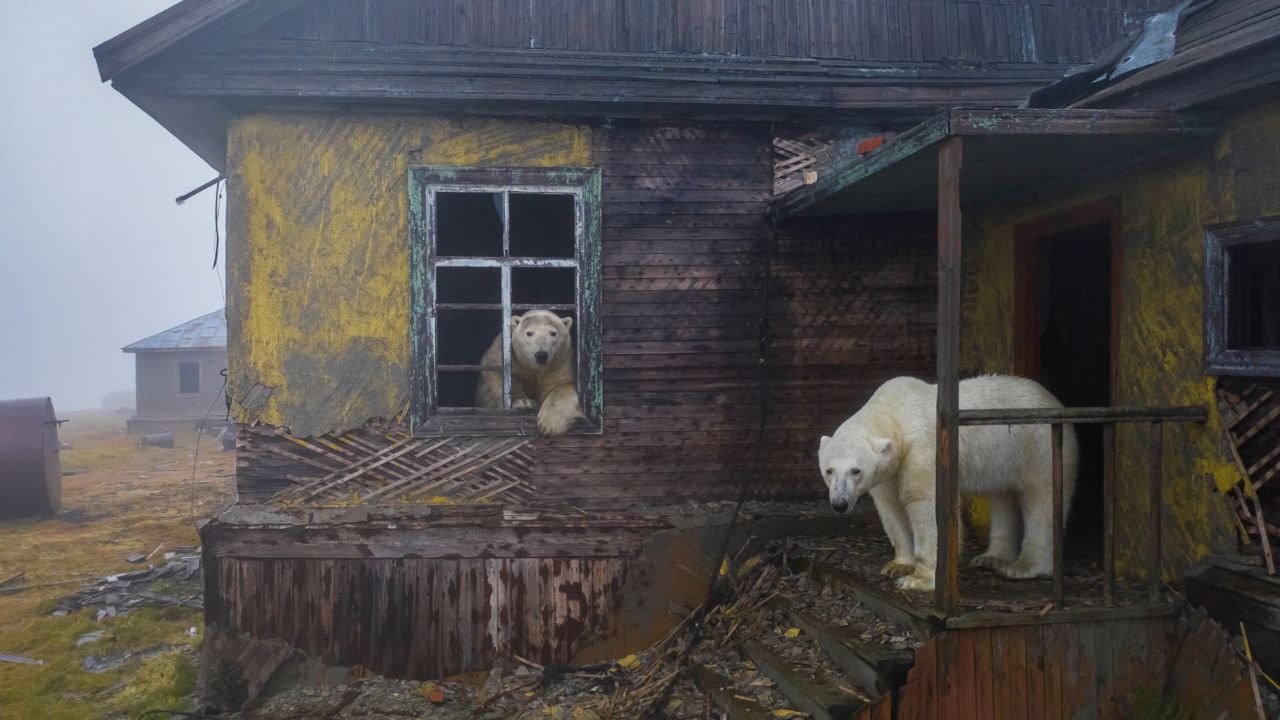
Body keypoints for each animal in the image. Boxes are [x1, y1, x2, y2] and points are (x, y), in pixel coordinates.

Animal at [476, 307, 586, 435]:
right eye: (529, 333)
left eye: (553, 333)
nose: (541, 354)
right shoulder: (507, 351)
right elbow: (496, 368)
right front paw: (523, 402)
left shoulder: (562, 360)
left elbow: (564, 385)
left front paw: (549, 424)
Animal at [814, 376, 1075, 589]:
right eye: (829, 470)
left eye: (856, 470)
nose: (839, 503)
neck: (895, 413)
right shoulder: (888, 472)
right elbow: (891, 509)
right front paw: (898, 565)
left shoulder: (923, 451)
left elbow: (927, 506)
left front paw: (918, 579)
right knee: (1003, 496)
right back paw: (991, 558)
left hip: (1037, 446)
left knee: (1041, 500)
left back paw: (1023, 567)